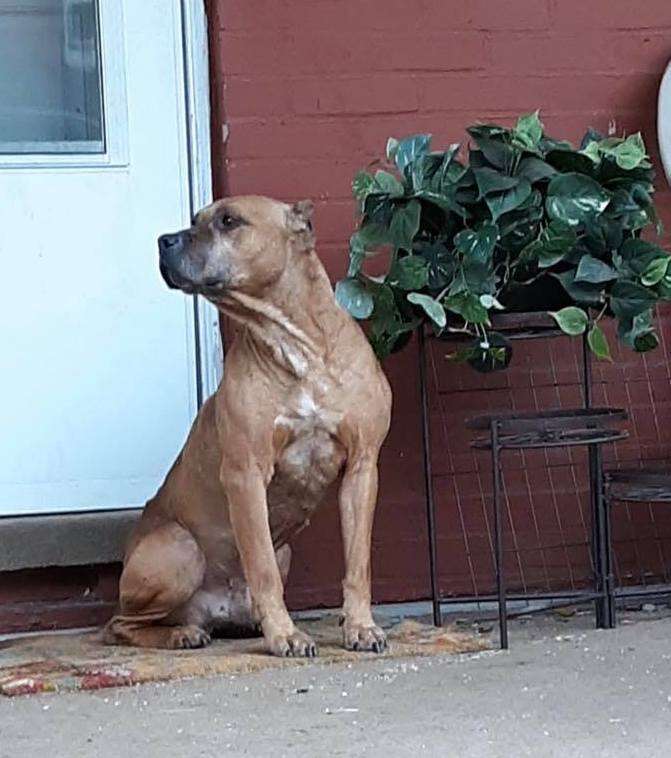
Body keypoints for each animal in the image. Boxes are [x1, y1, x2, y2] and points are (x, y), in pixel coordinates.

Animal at [102, 196, 392, 660]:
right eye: (195, 220)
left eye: (228, 221)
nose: (164, 240)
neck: (297, 346)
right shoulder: (246, 473)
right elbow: (261, 567)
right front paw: (285, 635)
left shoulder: (363, 468)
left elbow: (358, 562)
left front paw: (361, 626)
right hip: (178, 549)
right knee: (120, 625)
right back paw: (182, 634)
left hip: (284, 549)